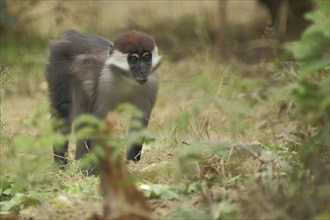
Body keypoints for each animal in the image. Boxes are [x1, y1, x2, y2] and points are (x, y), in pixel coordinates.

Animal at [45, 29, 161, 174]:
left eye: (146, 57)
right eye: (133, 59)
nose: (143, 70)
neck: (127, 80)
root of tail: (71, 33)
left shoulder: (150, 85)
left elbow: (138, 123)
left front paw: (131, 164)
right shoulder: (104, 83)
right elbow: (95, 123)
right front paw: (91, 171)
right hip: (57, 64)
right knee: (63, 108)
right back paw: (61, 165)